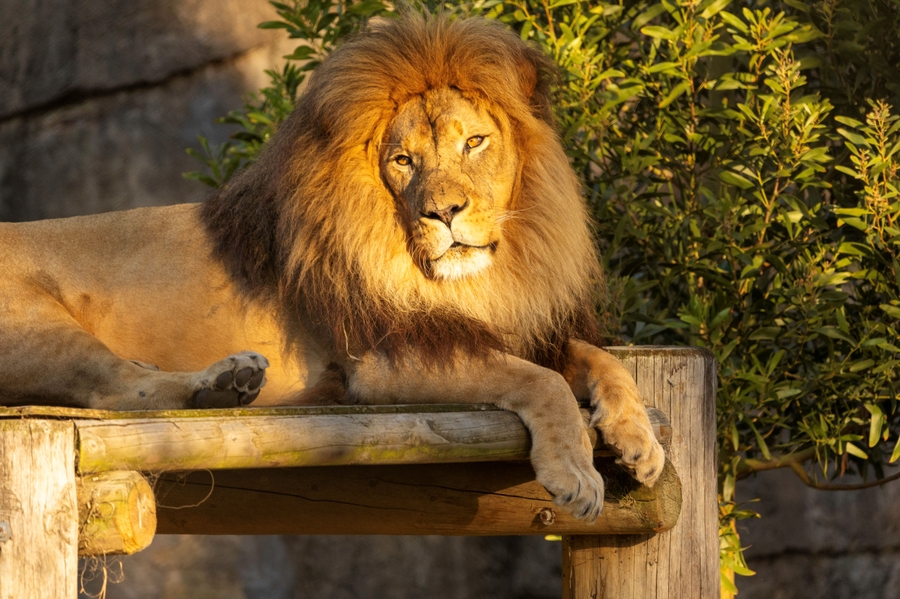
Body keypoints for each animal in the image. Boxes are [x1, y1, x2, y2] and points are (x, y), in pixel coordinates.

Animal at [0, 13, 663, 521]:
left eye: (473, 142)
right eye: (403, 160)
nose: (443, 212)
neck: (481, 282)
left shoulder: (515, 327)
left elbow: (602, 360)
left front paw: (640, 438)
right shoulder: (389, 360)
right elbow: (541, 380)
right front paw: (576, 473)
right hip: (41, 329)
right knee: (118, 388)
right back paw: (223, 383)